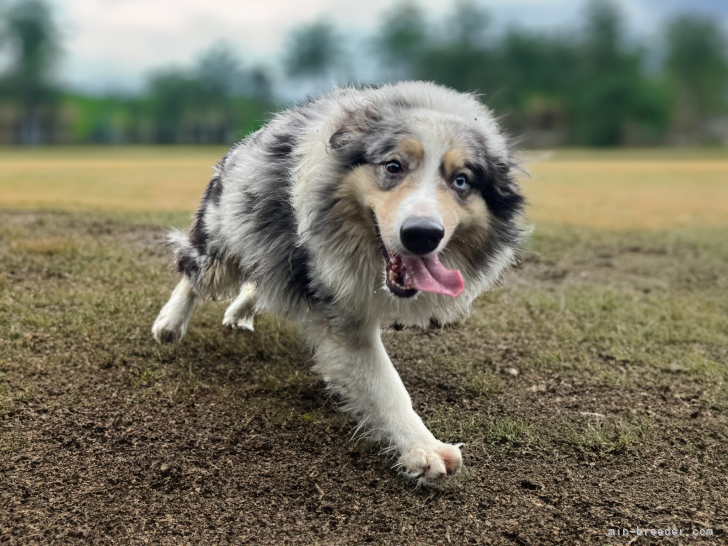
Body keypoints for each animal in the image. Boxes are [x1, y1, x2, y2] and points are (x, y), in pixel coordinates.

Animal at [152, 79, 524, 480]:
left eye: (461, 181)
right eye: (393, 166)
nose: (422, 234)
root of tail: (245, 142)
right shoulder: (341, 310)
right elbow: (386, 385)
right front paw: (423, 449)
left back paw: (240, 311)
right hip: (222, 242)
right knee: (194, 269)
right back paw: (170, 323)